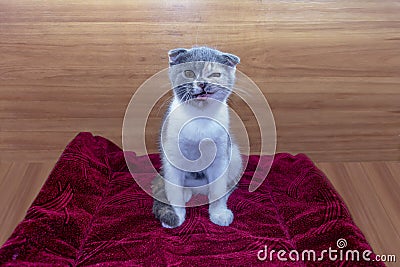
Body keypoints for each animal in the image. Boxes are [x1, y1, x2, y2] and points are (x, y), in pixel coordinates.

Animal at [152, 46, 242, 228]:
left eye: (215, 74)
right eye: (189, 73)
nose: (202, 83)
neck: (200, 117)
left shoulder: (221, 156)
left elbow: (218, 189)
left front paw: (218, 213)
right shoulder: (172, 155)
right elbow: (174, 189)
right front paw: (177, 215)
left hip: (235, 155)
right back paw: (186, 192)